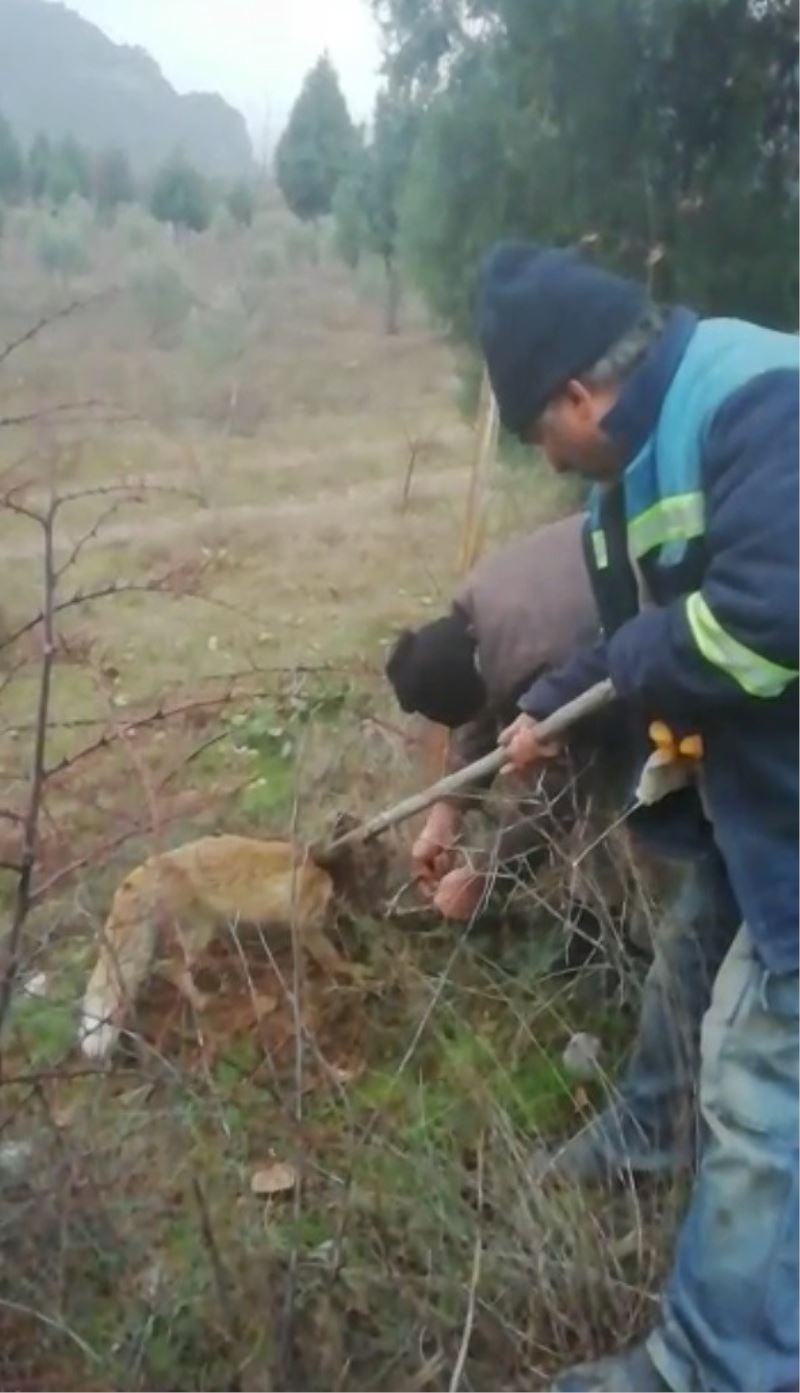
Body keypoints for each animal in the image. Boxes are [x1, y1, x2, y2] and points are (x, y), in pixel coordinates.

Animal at [77, 830, 359, 1058]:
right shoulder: (302, 920)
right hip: (199, 933)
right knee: (169, 966)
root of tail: (145, 868)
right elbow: (330, 958)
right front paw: (355, 972)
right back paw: (205, 998)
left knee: (166, 966)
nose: (339, 918)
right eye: (328, 903)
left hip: (202, 930)